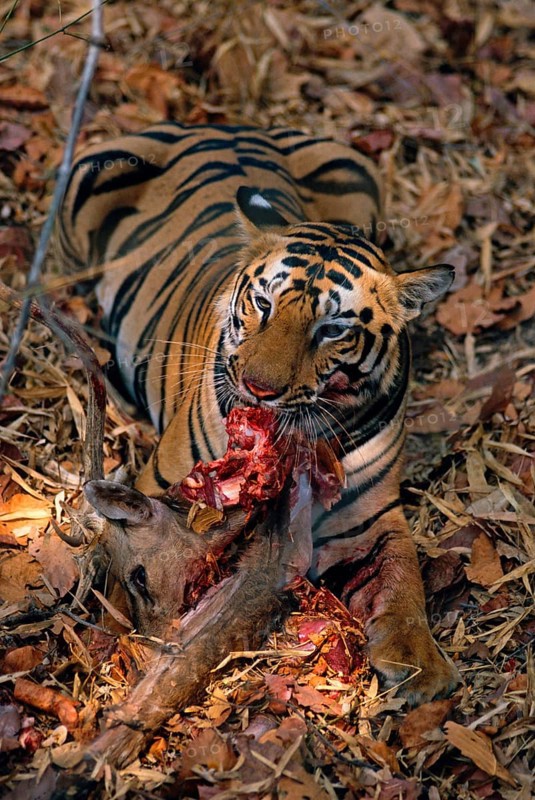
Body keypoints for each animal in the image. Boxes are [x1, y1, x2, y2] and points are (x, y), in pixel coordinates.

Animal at [59, 122, 460, 705]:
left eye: (332, 329)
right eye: (264, 305)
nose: (258, 388)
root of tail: (223, 126)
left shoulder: (373, 518)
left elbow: (404, 578)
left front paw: (421, 666)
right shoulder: (159, 487)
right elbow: (128, 560)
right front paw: (115, 647)